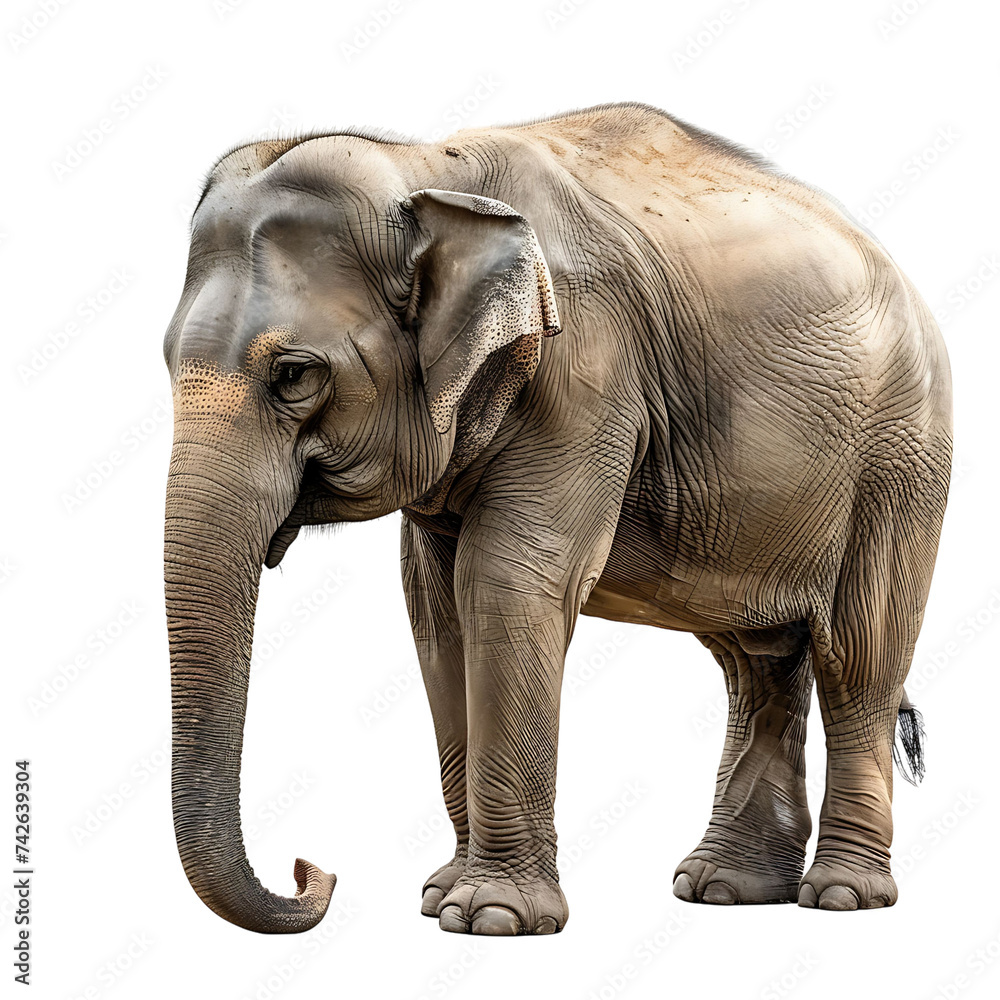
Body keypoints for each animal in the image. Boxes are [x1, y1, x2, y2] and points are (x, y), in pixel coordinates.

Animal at [162, 102, 952, 936]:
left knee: (859, 654)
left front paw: (491, 917)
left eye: (293, 376)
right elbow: (437, 610)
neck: (429, 168)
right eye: (166, 362)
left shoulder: (586, 369)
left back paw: (841, 896)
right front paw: (441, 898)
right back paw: (723, 889)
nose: (315, 871)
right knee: (757, 663)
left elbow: (505, 583)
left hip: (900, 464)